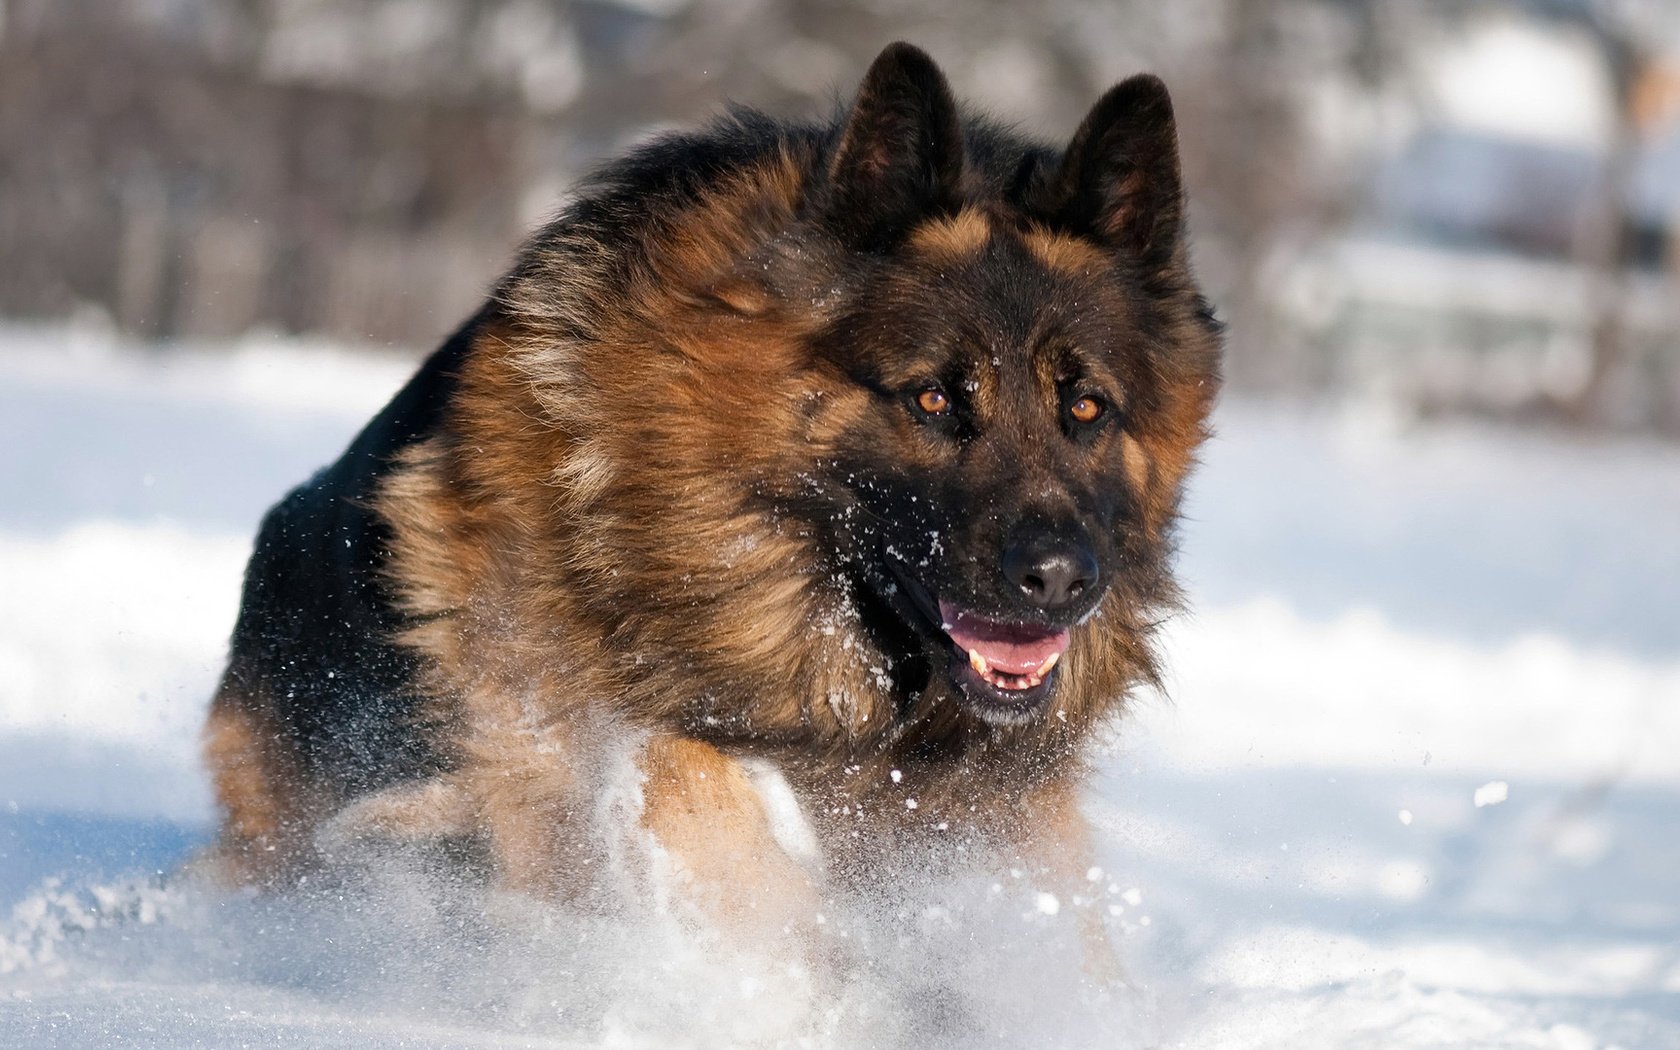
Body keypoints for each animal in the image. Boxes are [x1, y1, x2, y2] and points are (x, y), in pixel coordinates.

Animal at [206, 44, 1223, 967]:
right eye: (934, 399)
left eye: (1086, 408)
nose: (1058, 581)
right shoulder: (553, 742)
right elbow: (689, 783)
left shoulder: (1000, 819)